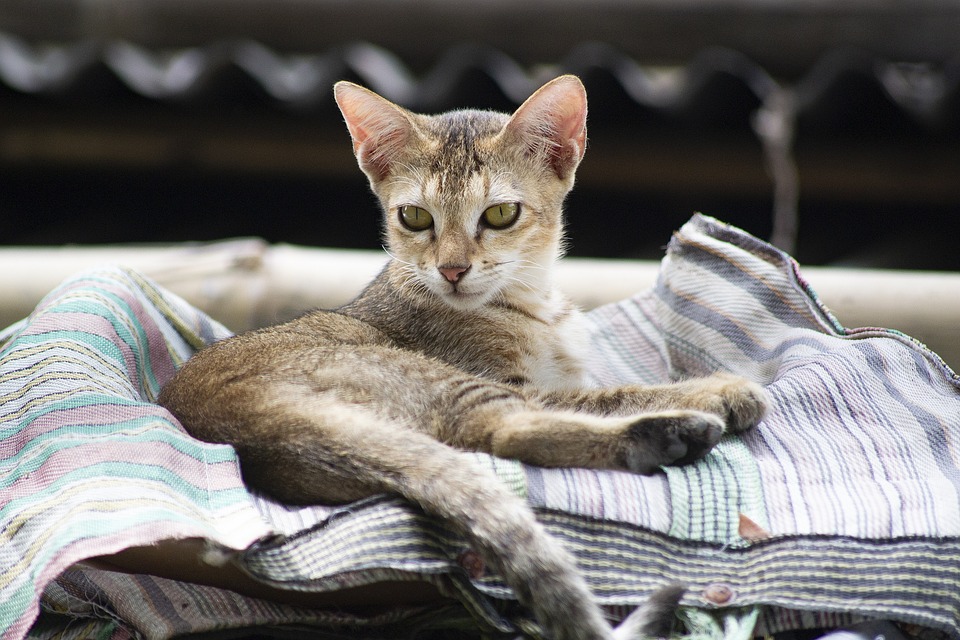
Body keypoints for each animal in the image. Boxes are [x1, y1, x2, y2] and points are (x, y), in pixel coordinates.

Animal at [159, 76, 772, 640]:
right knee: (500, 432)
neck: (534, 305)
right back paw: (671, 433)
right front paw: (722, 387)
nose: (452, 270)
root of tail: (254, 420)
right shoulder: (512, 379)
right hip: (439, 380)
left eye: (500, 214)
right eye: (414, 217)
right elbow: (613, 391)